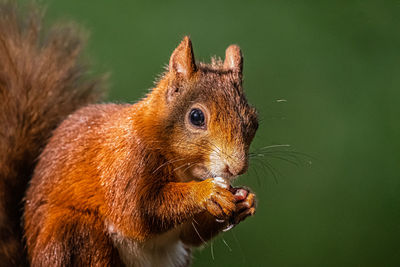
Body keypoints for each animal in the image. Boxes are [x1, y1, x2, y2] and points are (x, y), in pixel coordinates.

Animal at [0, 1, 260, 266]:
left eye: (254, 121)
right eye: (196, 117)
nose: (236, 168)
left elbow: (190, 235)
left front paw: (245, 199)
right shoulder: (125, 162)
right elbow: (137, 211)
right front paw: (207, 192)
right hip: (76, 232)